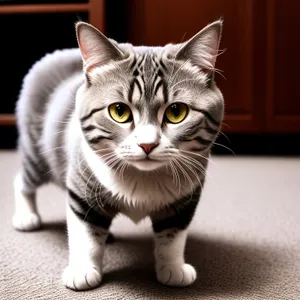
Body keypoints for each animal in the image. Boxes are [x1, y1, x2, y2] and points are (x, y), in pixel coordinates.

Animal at [12, 19, 224, 290]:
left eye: (176, 112)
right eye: (119, 111)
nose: (147, 144)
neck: (143, 179)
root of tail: (55, 55)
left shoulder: (186, 198)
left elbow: (173, 236)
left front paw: (173, 268)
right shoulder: (81, 187)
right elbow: (85, 233)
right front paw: (82, 270)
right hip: (37, 153)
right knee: (23, 180)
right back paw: (26, 216)